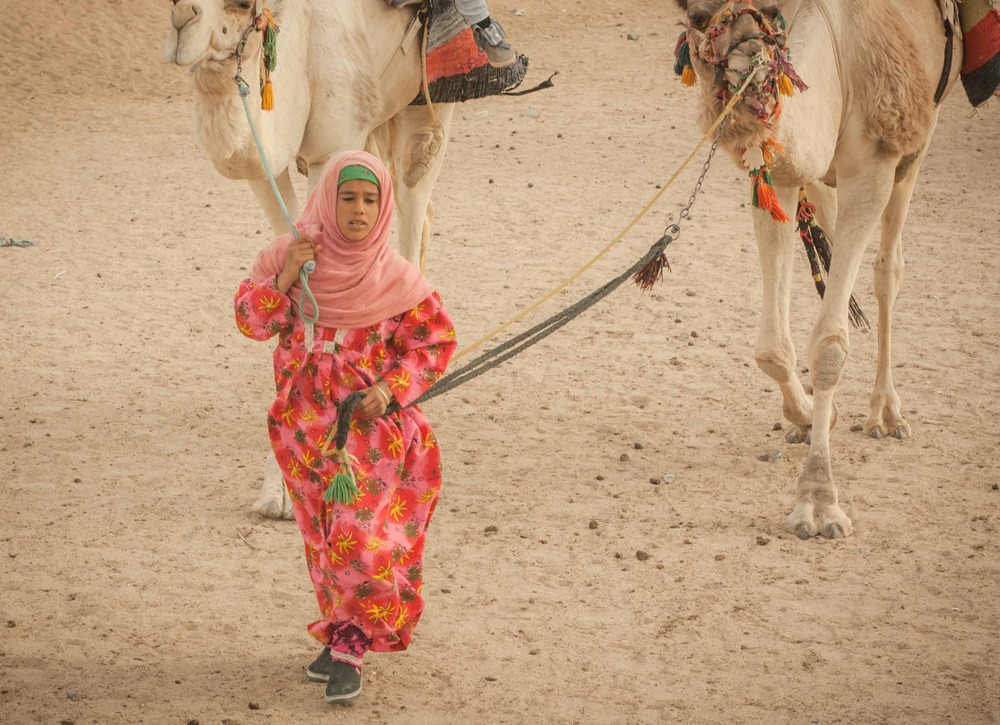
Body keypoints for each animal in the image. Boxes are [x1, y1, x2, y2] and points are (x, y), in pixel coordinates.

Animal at [168, 0, 458, 520]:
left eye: (242, 6)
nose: (183, 20)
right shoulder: (268, 162)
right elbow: (292, 264)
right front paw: (279, 490)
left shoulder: (333, 145)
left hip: (431, 96)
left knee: (413, 201)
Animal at [672, 0, 960, 536]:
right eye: (699, 19)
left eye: (767, 16)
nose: (747, 72)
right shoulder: (778, 171)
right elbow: (771, 349)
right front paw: (808, 416)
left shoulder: (875, 162)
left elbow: (828, 345)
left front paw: (818, 500)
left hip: (920, 134)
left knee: (888, 267)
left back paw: (886, 415)